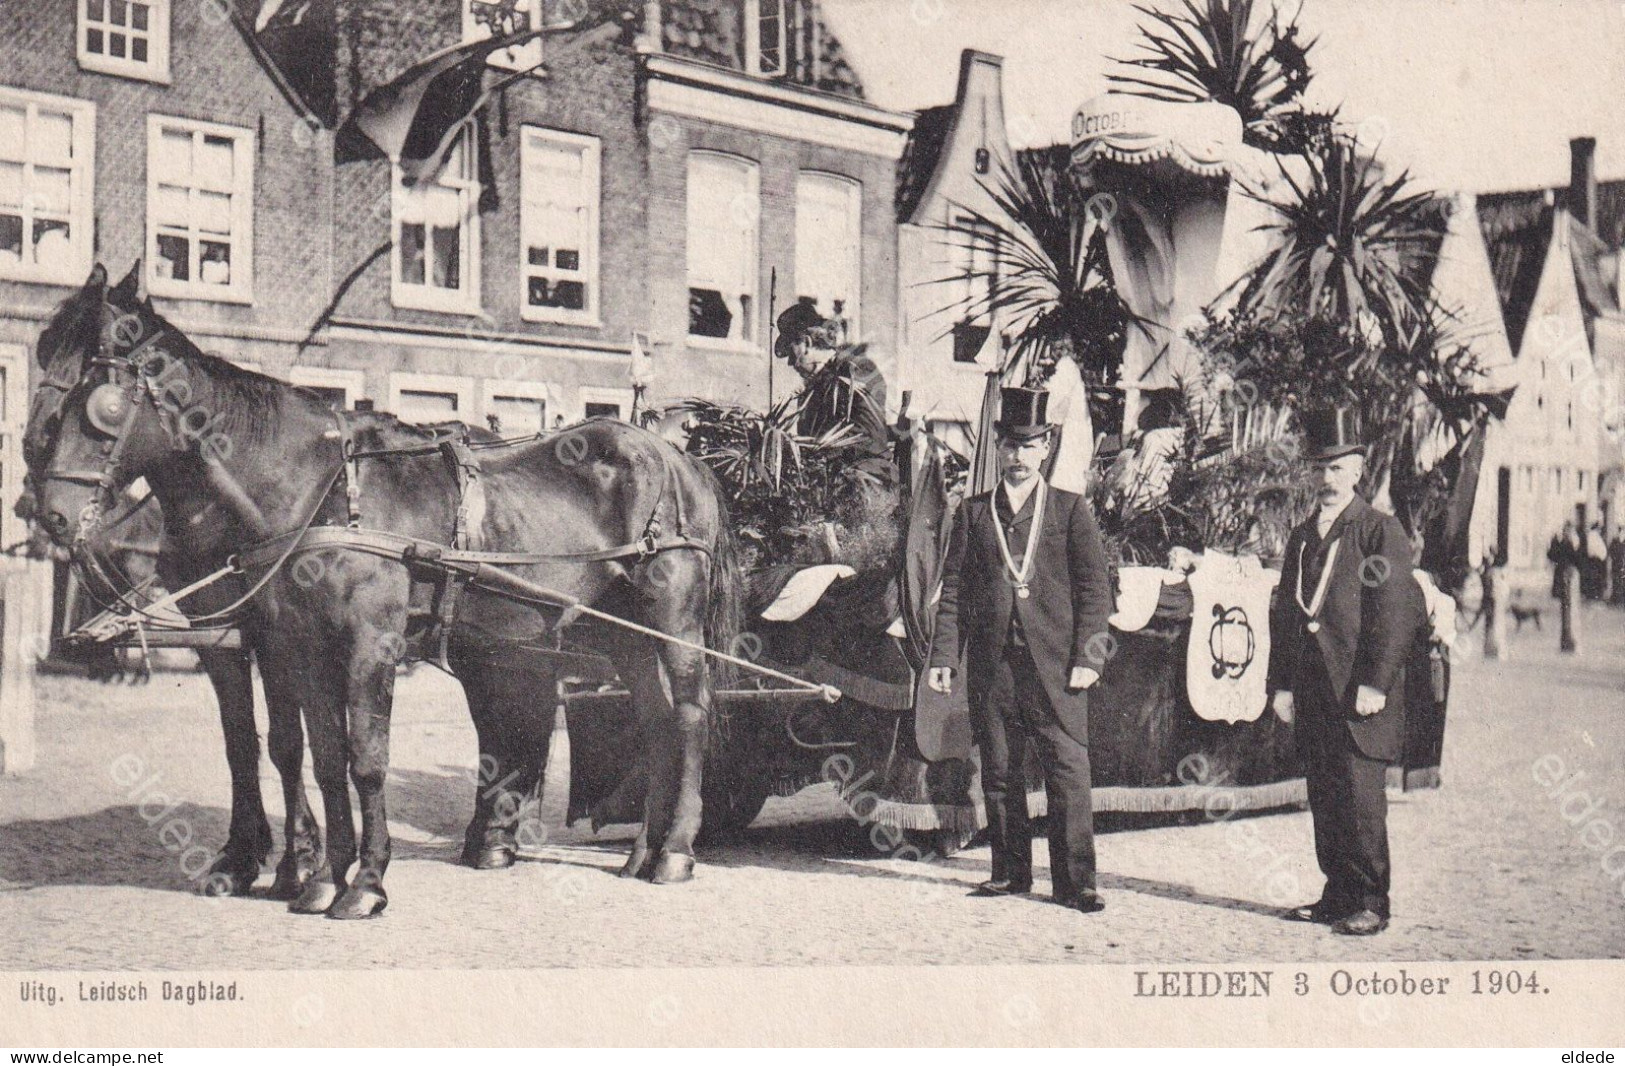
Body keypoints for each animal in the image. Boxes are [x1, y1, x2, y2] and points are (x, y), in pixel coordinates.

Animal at [30, 264, 744, 916]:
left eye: (96, 397)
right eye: (43, 369)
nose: (48, 514)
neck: (313, 492)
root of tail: (678, 458)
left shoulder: (366, 644)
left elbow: (364, 758)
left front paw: (363, 880)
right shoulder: (288, 643)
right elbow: (310, 753)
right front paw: (317, 875)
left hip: (672, 623)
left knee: (688, 714)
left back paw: (675, 850)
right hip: (619, 633)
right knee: (651, 720)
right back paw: (637, 852)